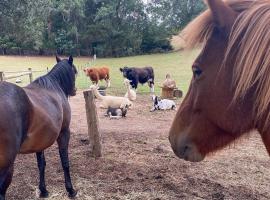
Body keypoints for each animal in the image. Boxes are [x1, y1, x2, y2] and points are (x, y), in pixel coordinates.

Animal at [0, 55, 78, 198]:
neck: (54, 87)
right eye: (74, 71)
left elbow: (41, 164)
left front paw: (43, 190)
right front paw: (70, 190)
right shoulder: (64, 133)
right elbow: (65, 162)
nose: (74, 90)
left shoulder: (39, 142)